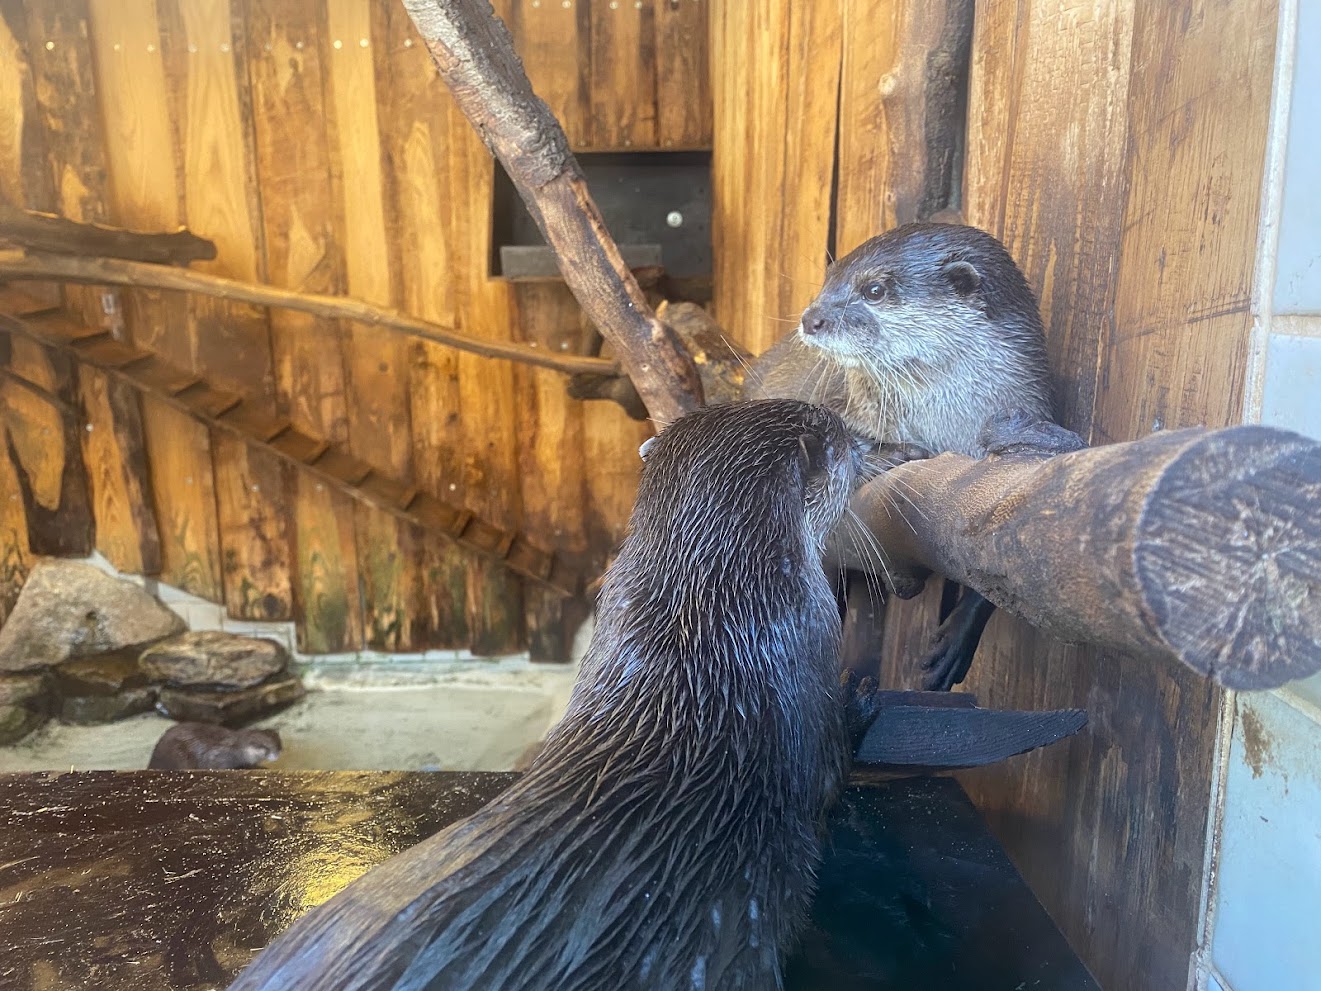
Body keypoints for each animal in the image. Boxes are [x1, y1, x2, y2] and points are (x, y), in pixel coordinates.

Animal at [227, 399, 859, 991]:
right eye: (838, 434)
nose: (863, 437)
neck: (703, 617)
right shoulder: (816, 640)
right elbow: (832, 775)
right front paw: (863, 695)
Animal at [748, 223, 1062, 691]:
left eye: (874, 290)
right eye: (828, 279)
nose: (811, 317)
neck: (944, 421)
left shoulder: (1027, 422)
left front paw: (955, 639)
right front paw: (891, 454)